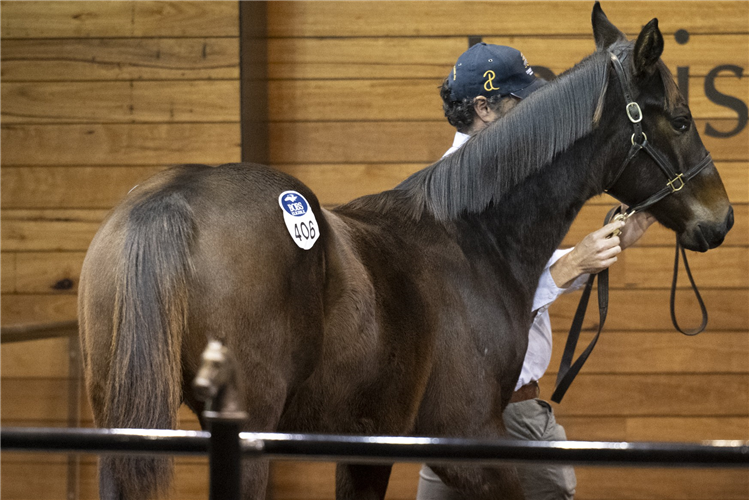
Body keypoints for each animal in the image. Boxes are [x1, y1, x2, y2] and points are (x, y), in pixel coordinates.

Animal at [78, 4, 733, 499]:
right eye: (681, 119)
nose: (722, 218)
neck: (471, 239)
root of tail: (169, 202)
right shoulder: (470, 440)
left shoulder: (366, 448)